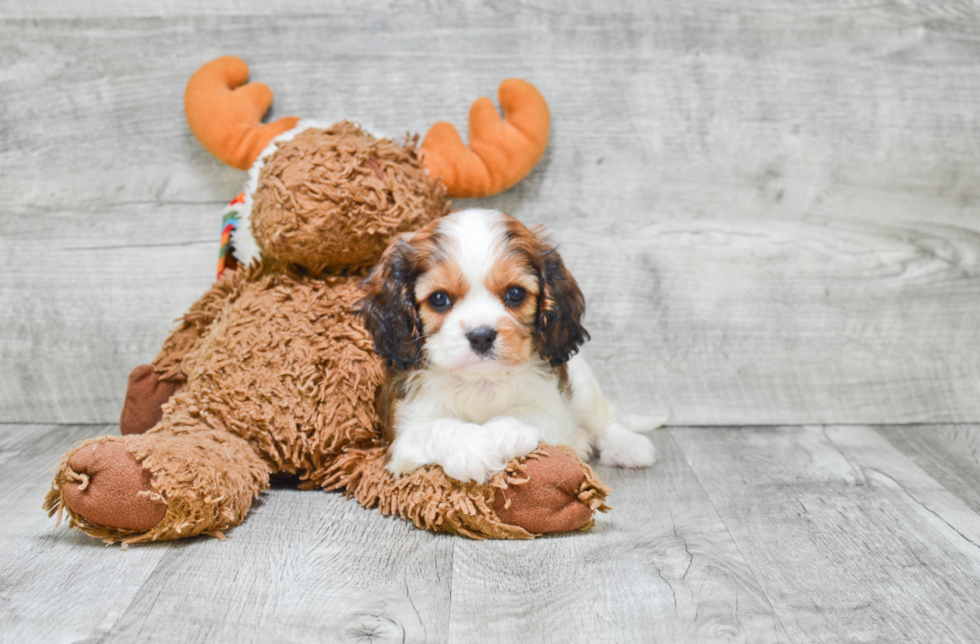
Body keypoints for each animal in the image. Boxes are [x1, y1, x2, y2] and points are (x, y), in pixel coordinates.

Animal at [356, 209, 656, 486]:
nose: (481, 336)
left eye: (515, 293)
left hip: (583, 385)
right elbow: (436, 428)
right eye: (439, 299)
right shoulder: (402, 436)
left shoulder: (552, 409)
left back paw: (627, 446)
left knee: (604, 420)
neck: (481, 381)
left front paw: (496, 434)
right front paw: (470, 447)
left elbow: (526, 416)